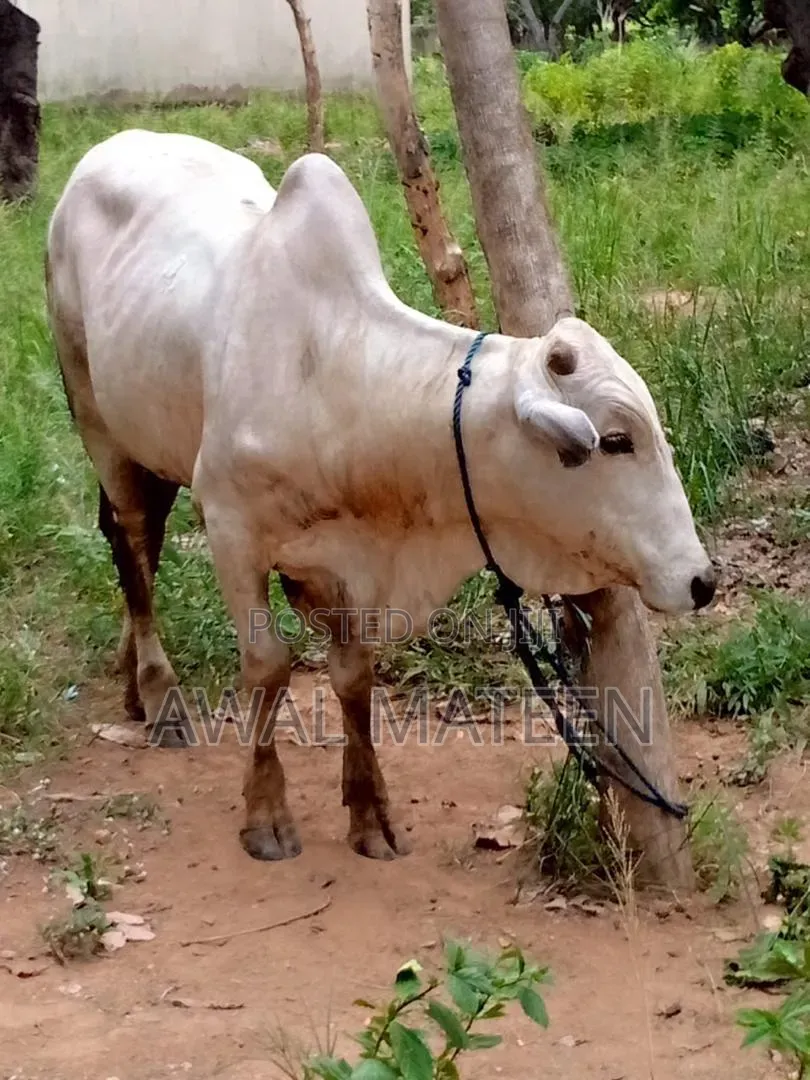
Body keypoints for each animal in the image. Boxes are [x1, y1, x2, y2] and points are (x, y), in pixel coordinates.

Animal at [46, 130, 715, 863]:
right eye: (618, 440)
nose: (702, 581)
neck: (337, 376)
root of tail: (107, 148)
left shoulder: (343, 563)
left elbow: (354, 676)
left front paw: (370, 814)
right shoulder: (230, 527)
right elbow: (268, 666)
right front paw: (267, 816)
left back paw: (130, 679)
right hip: (95, 416)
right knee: (133, 543)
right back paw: (158, 693)